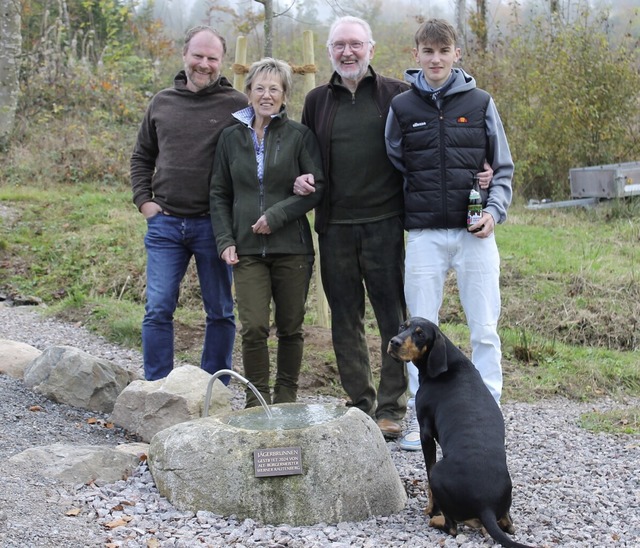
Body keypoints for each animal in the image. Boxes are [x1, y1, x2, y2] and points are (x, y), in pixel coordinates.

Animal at [390, 316, 536, 548]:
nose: (394, 342)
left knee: (452, 527)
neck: (448, 365)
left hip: (439, 473)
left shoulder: (425, 433)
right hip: (506, 504)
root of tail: (485, 506)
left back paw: (437, 520)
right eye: (403, 326)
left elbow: (428, 478)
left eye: (420, 334)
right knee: (509, 525)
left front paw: (431, 510)